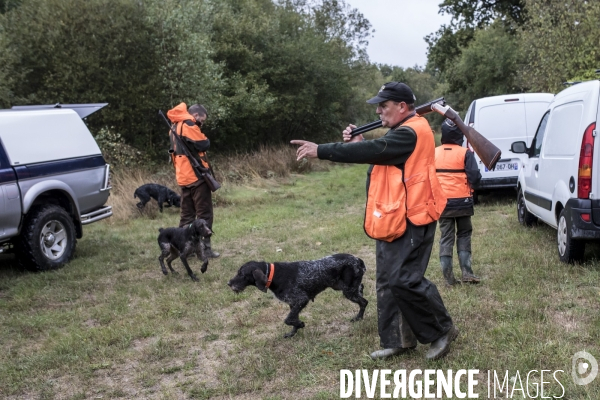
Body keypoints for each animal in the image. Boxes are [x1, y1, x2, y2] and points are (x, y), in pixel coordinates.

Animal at [226, 253, 366, 338]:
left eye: (241, 274)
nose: (229, 283)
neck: (273, 275)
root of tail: (358, 260)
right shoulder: (293, 303)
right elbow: (292, 319)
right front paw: (293, 332)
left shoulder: (301, 300)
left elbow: (288, 319)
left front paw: (300, 325)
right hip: (344, 287)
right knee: (361, 290)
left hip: (348, 291)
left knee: (364, 302)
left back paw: (358, 318)